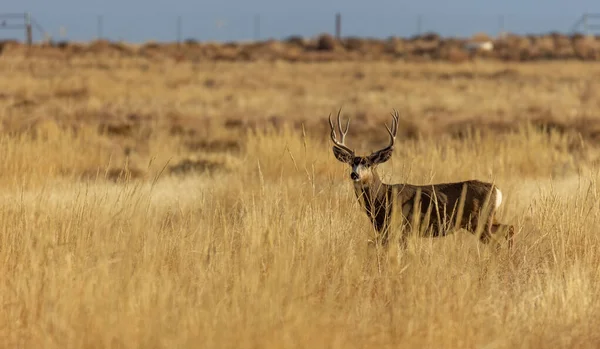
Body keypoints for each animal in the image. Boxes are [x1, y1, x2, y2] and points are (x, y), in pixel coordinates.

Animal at [328, 110, 516, 249]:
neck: (382, 198)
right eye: (352, 163)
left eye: (368, 164)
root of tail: (496, 190)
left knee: (497, 244)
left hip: (479, 220)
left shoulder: (402, 227)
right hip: (488, 219)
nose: (354, 175)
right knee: (510, 228)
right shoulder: (386, 231)